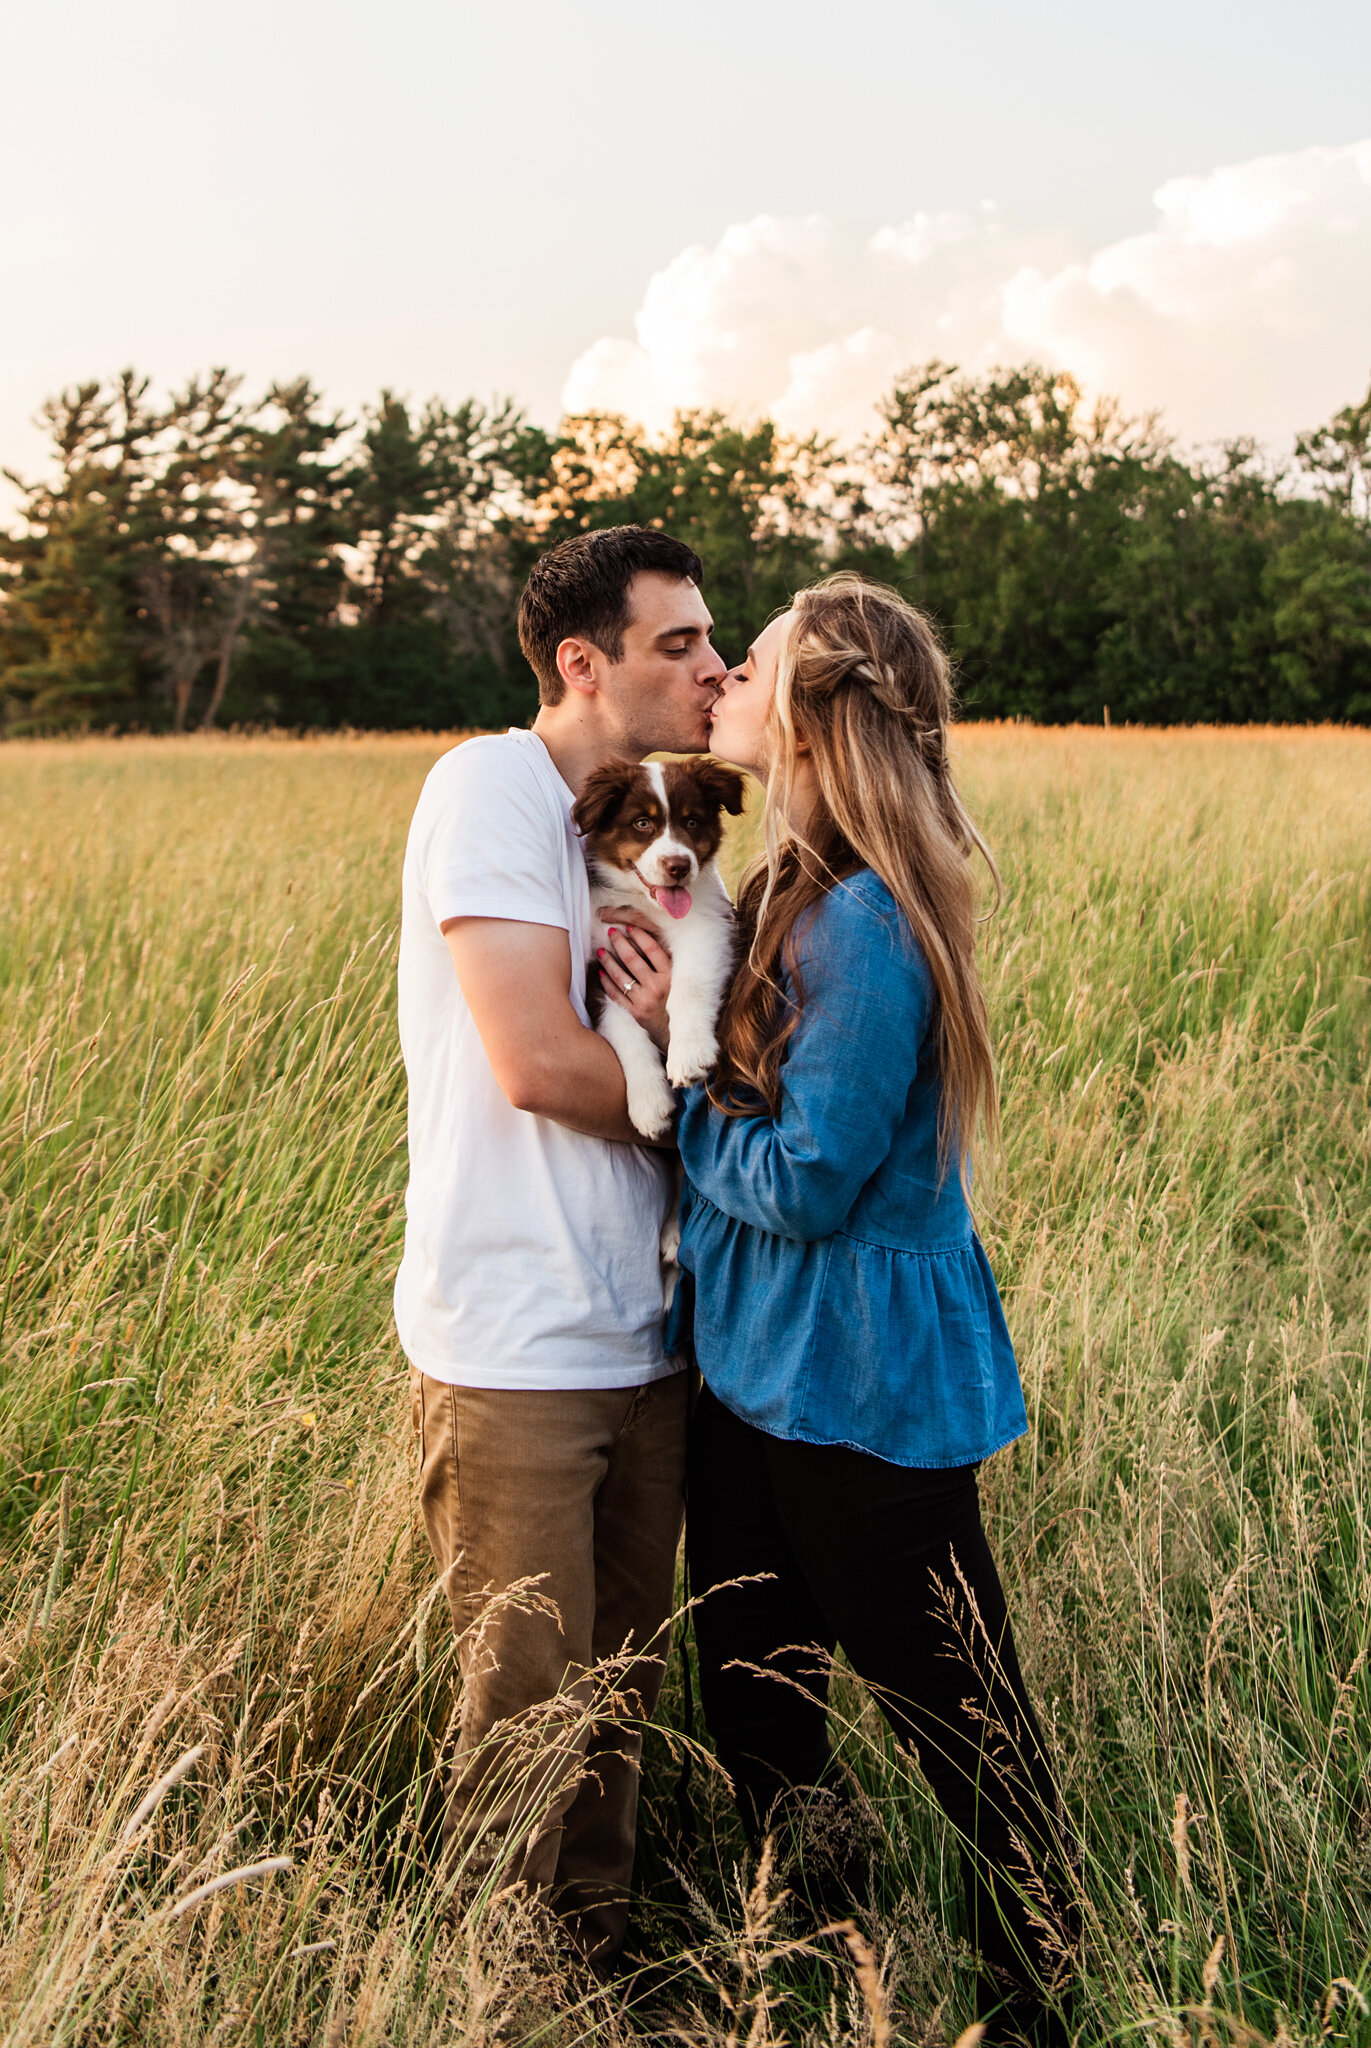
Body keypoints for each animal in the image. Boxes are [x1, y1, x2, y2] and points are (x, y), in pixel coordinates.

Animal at [577, 757, 750, 1146]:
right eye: (643, 823)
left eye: (692, 822)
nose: (679, 867)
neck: (644, 902)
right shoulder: (601, 961)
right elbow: (619, 1025)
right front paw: (649, 1103)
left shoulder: (707, 928)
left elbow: (688, 988)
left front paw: (690, 1053)